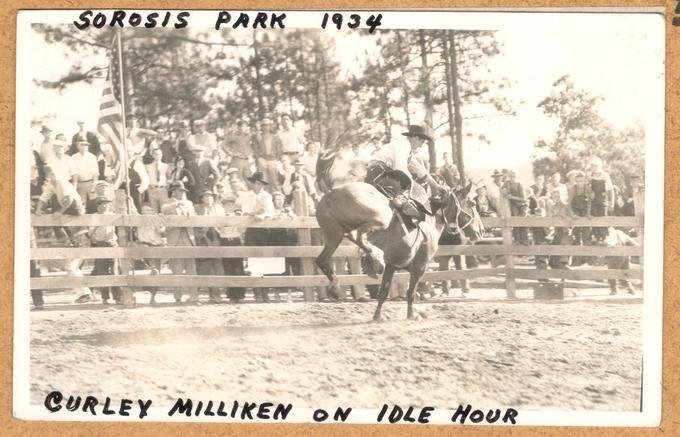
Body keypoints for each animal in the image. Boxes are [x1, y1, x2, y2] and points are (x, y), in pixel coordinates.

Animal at [314, 150, 485, 320]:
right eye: (472, 204)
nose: (481, 231)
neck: (429, 218)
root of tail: (332, 193)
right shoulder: (419, 267)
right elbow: (411, 292)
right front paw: (411, 315)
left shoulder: (392, 266)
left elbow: (384, 291)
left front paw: (377, 316)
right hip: (379, 218)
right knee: (358, 237)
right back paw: (376, 258)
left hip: (333, 233)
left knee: (323, 259)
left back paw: (337, 288)